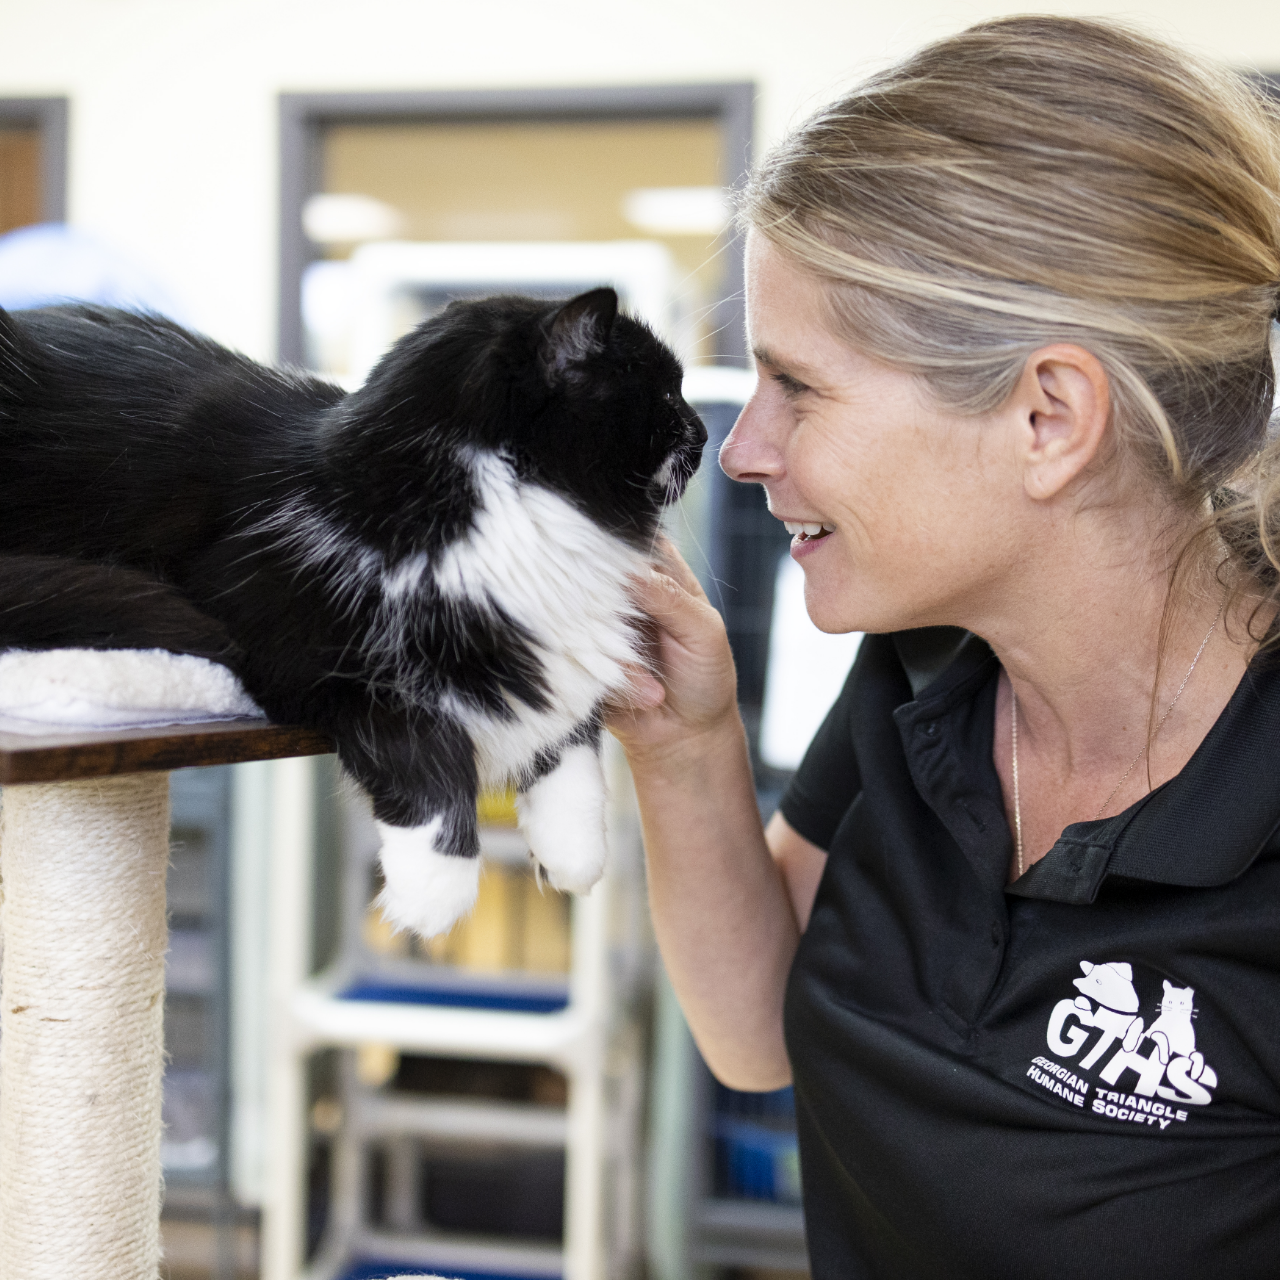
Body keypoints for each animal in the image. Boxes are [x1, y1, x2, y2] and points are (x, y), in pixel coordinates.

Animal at [0, 288, 706, 931]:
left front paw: (573, 857)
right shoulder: (298, 645)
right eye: (665, 396)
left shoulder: (553, 651)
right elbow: (427, 753)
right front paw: (435, 892)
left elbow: (573, 742)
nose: (702, 433)